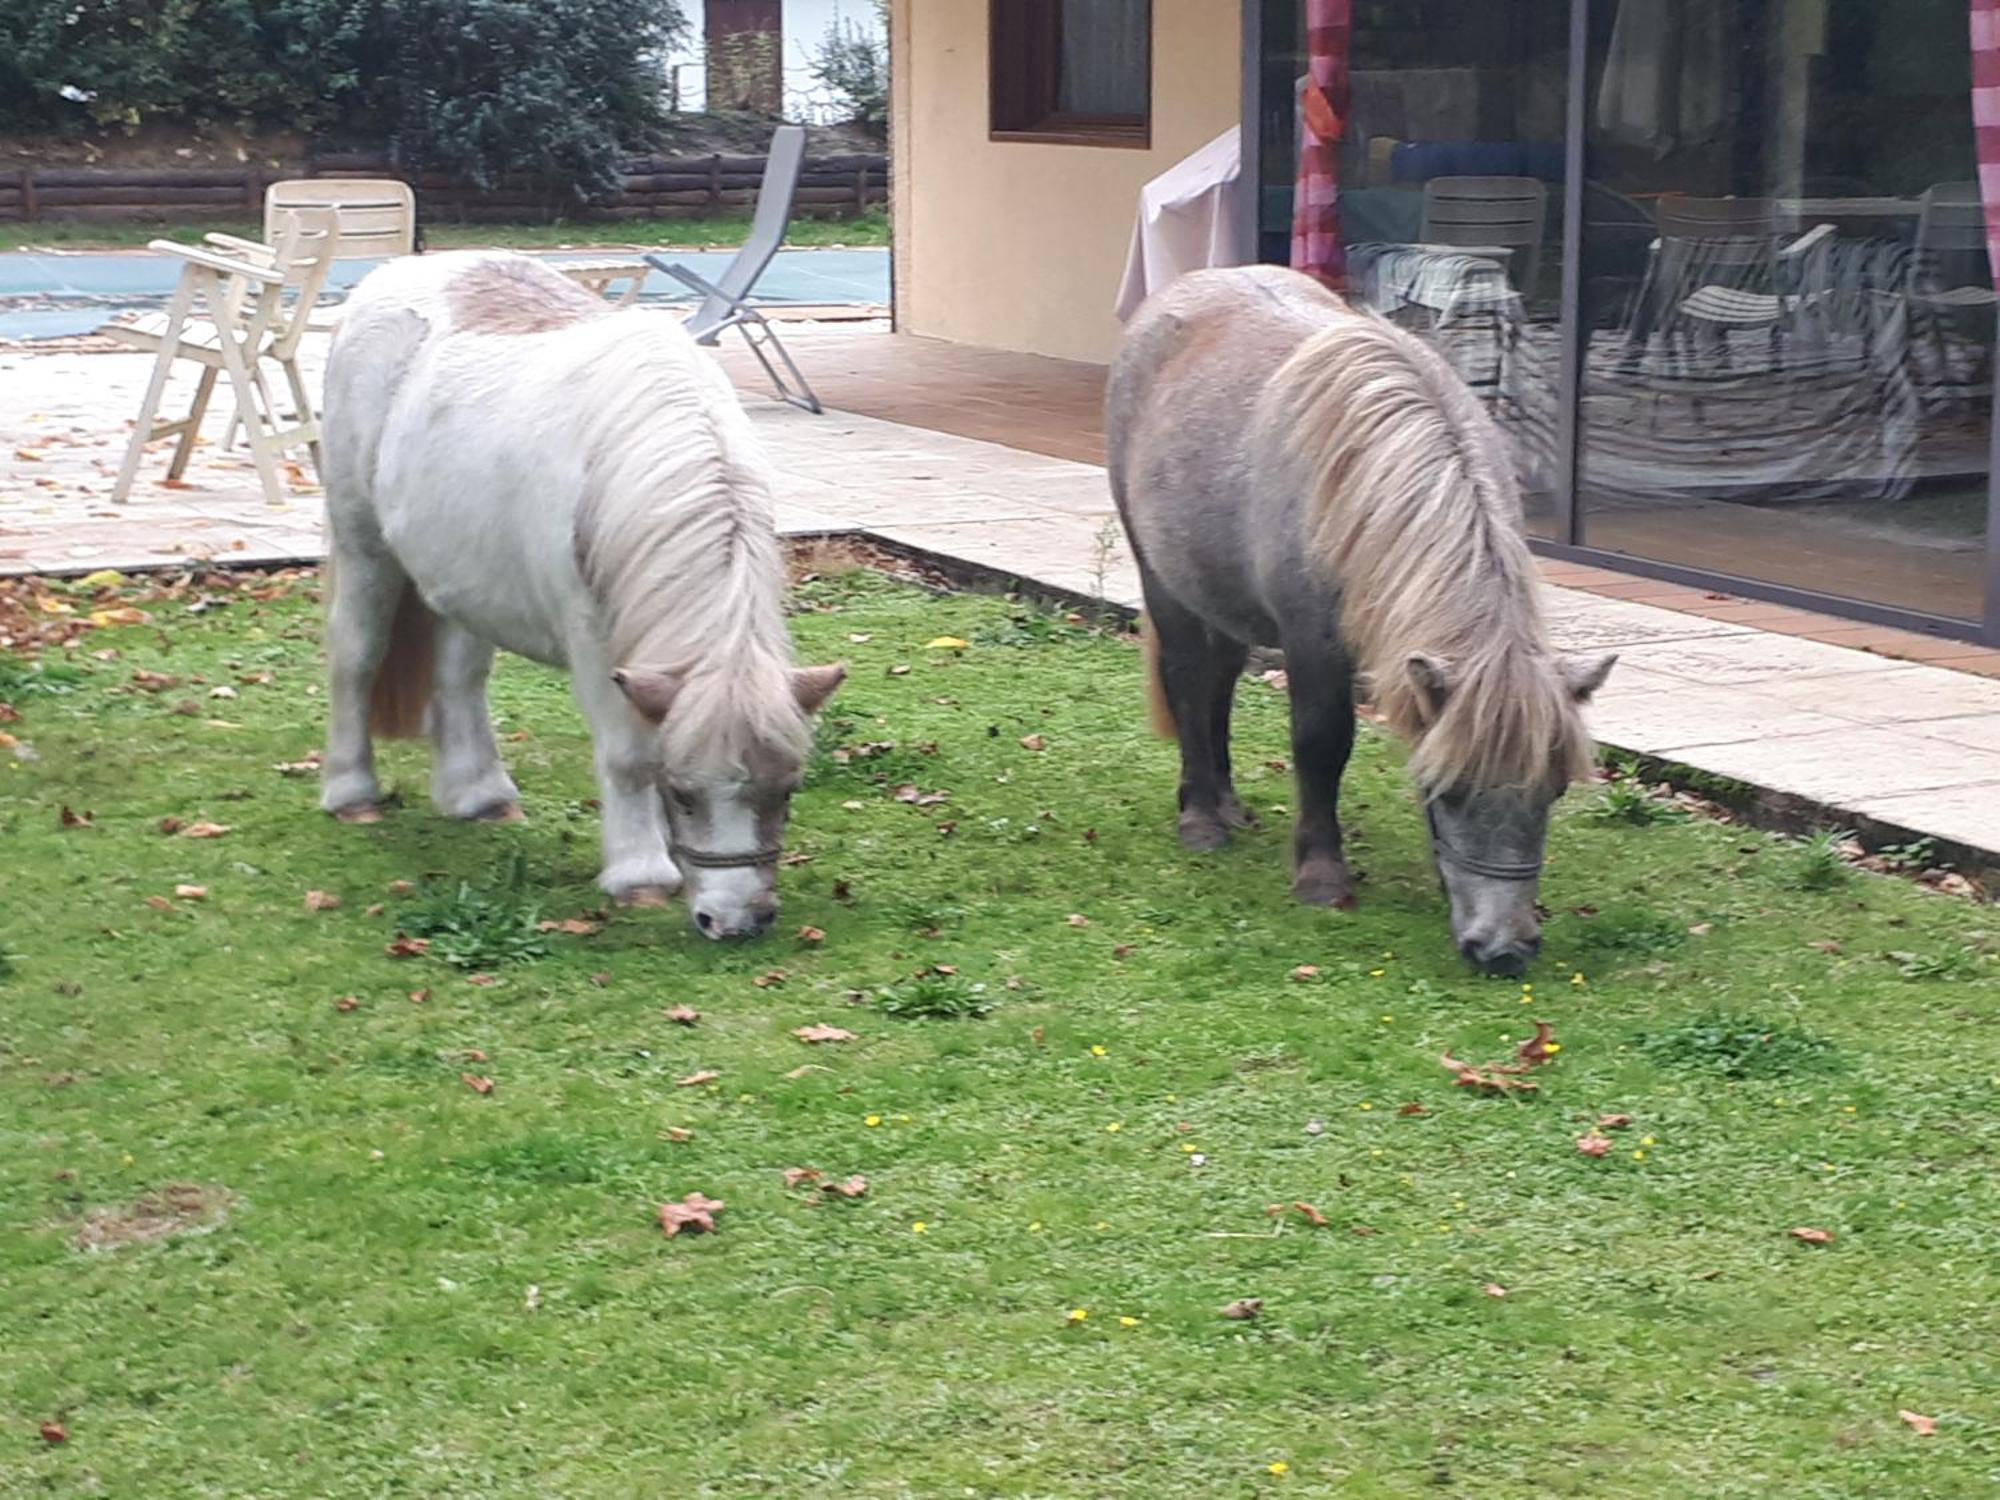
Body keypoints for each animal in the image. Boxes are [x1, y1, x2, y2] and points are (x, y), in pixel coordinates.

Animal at [318, 256, 844, 940]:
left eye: (787, 790)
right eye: (683, 793)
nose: (736, 922)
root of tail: (388, 274)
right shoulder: (596, 643)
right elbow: (628, 756)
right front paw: (641, 875)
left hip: (459, 573)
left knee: (460, 679)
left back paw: (480, 797)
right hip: (364, 548)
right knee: (355, 658)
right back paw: (352, 795)